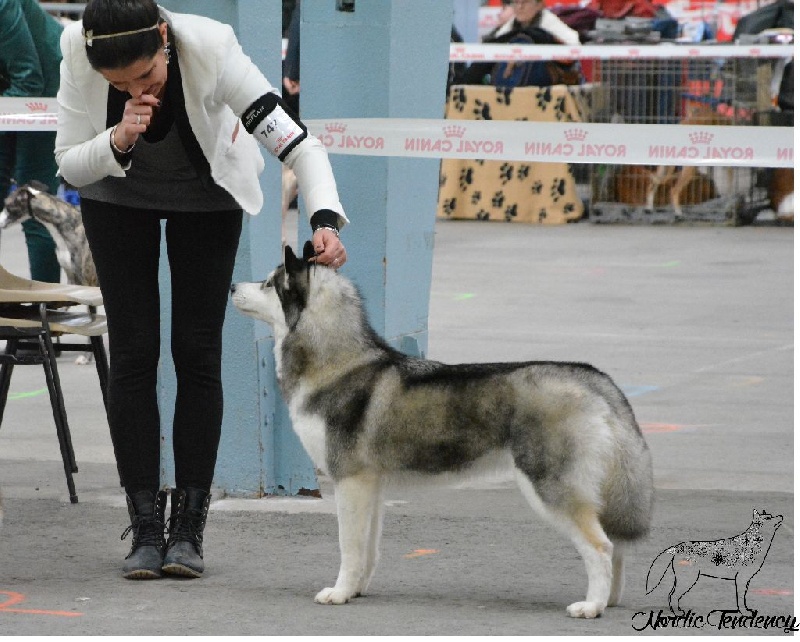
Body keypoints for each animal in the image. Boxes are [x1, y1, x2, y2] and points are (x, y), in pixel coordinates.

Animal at [228, 242, 652, 616]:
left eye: (269, 283)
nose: (232, 286)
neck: (338, 363)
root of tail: (593, 378)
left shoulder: (349, 481)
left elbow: (349, 547)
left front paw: (339, 592)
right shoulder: (370, 486)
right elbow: (368, 549)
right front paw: (357, 590)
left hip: (549, 487)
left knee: (600, 546)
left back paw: (591, 606)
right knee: (614, 544)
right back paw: (610, 600)